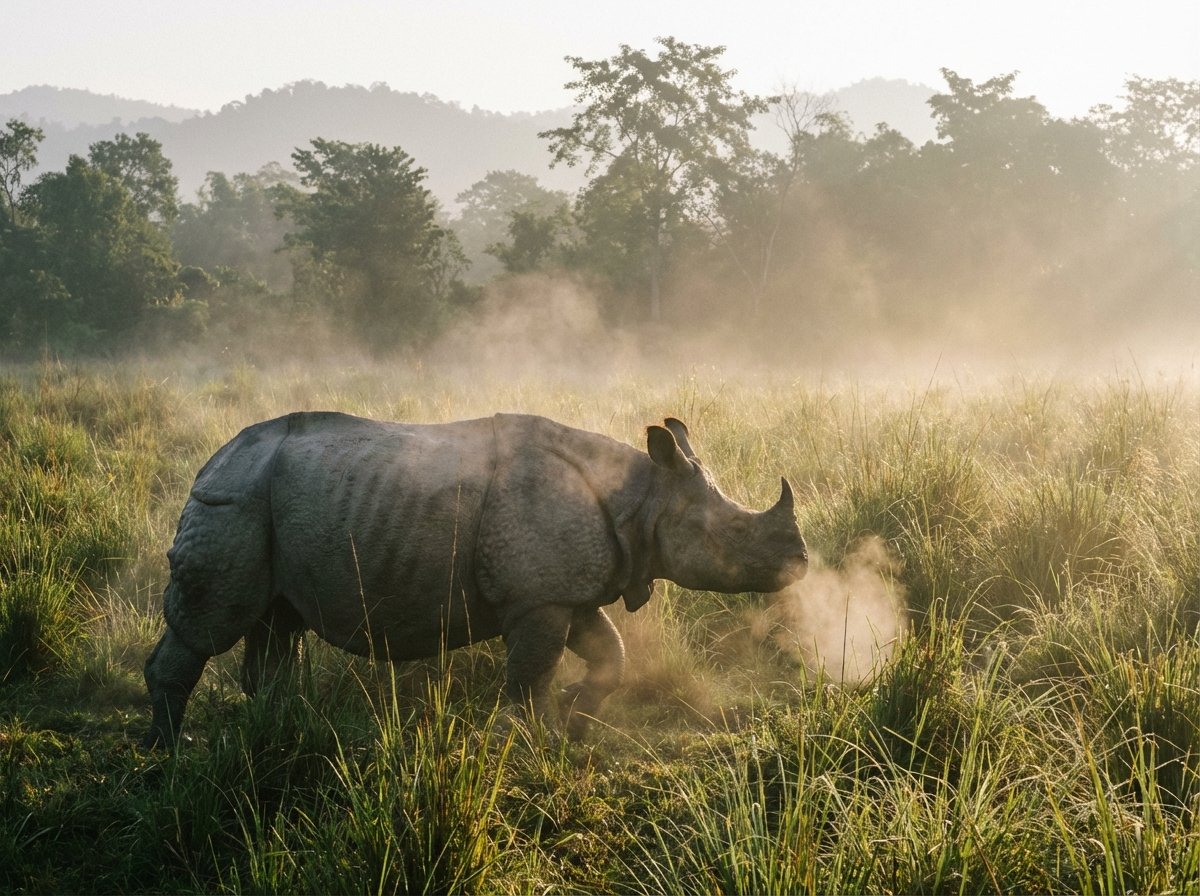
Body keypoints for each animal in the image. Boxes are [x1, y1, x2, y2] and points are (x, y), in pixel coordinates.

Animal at [143, 412, 808, 748]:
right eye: (727, 534)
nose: (800, 564)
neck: (641, 496)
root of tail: (211, 460)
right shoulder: (538, 597)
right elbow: (531, 675)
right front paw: (541, 741)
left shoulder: (559, 589)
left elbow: (608, 653)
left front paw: (576, 717)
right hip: (234, 502)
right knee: (211, 625)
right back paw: (168, 750)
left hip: (269, 505)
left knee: (277, 621)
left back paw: (281, 726)